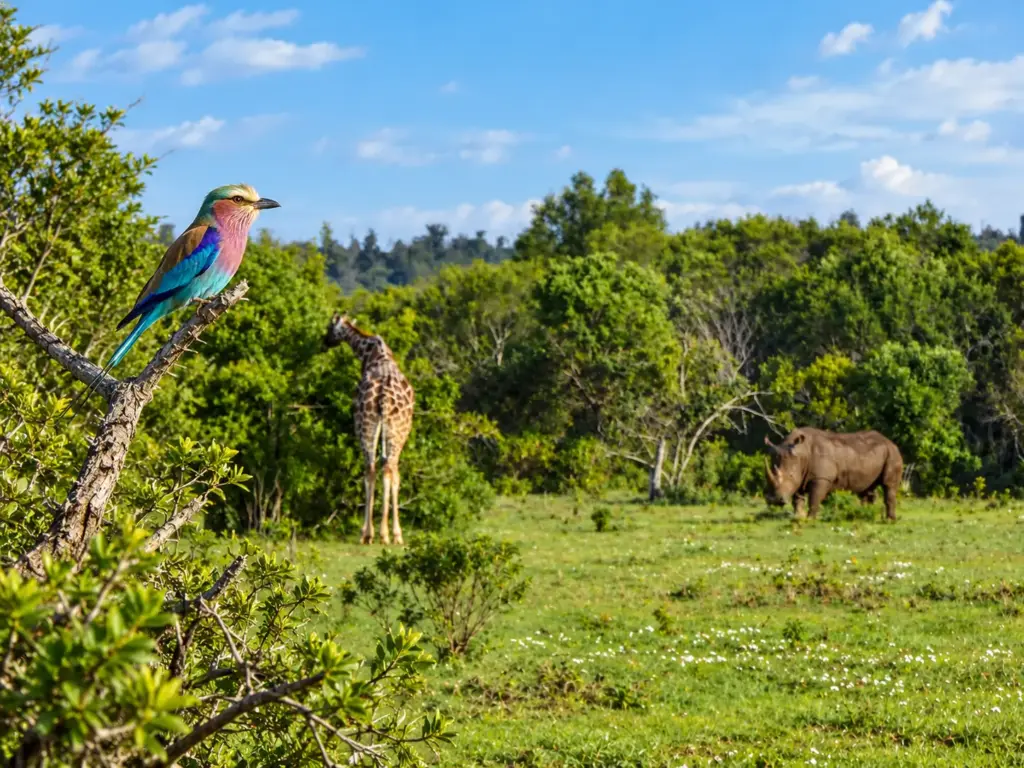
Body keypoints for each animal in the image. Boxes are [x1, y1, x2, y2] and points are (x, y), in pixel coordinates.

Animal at [324, 313, 415, 545]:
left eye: (329, 328)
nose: (325, 341)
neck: (371, 353)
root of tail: (383, 396)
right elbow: (394, 475)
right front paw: (394, 534)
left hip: (368, 425)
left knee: (373, 468)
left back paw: (370, 533)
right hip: (389, 429)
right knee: (386, 469)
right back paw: (383, 533)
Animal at [763, 427, 903, 521]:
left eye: (791, 476)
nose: (774, 500)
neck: (802, 453)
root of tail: (890, 441)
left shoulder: (821, 478)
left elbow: (814, 498)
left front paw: (810, 519)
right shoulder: (800, 475)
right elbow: (798, 499)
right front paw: (798, 517)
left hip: (892, 454)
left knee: (888, 485)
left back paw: (890, 520)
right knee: (868, 488)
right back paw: (865, 514)